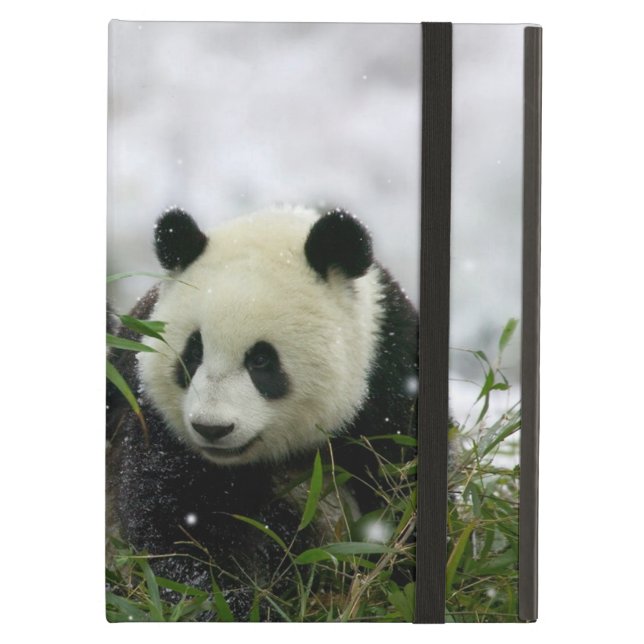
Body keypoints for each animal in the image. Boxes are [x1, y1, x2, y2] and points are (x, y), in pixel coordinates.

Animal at [106, 204, 418, 619]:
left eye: (261, 360)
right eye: (193, 353)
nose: (212, 428)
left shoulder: (390, 378)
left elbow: (398, 491)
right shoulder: (153, 417)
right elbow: (178, 524)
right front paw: (237, 602)